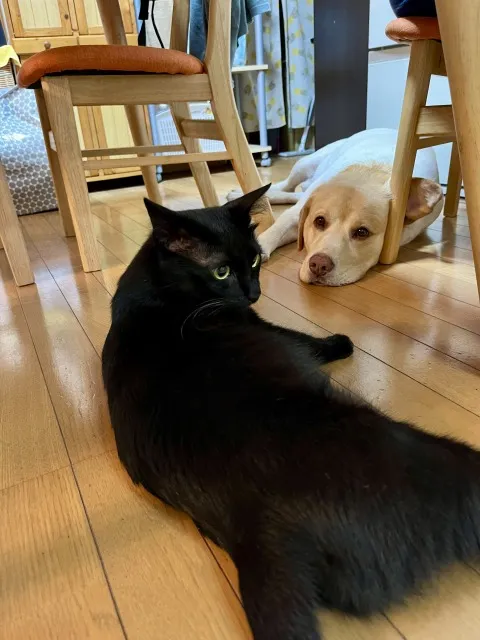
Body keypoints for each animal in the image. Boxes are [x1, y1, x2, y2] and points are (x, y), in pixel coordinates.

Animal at [102, 185, 480, 640]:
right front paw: (341, 343)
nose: (253, 292)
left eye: (254, 259)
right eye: (221, 272)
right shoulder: (262, 326)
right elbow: (305, 339)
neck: (159, 285)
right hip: (430, 452)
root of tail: (258, 529)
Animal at [230, 129, 444, 286]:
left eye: (362, 232)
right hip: (305, 163)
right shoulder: (297, 216)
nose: (318, 265)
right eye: (319, 221)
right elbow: (278, 227)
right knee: (286, 185)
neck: (369, 173)